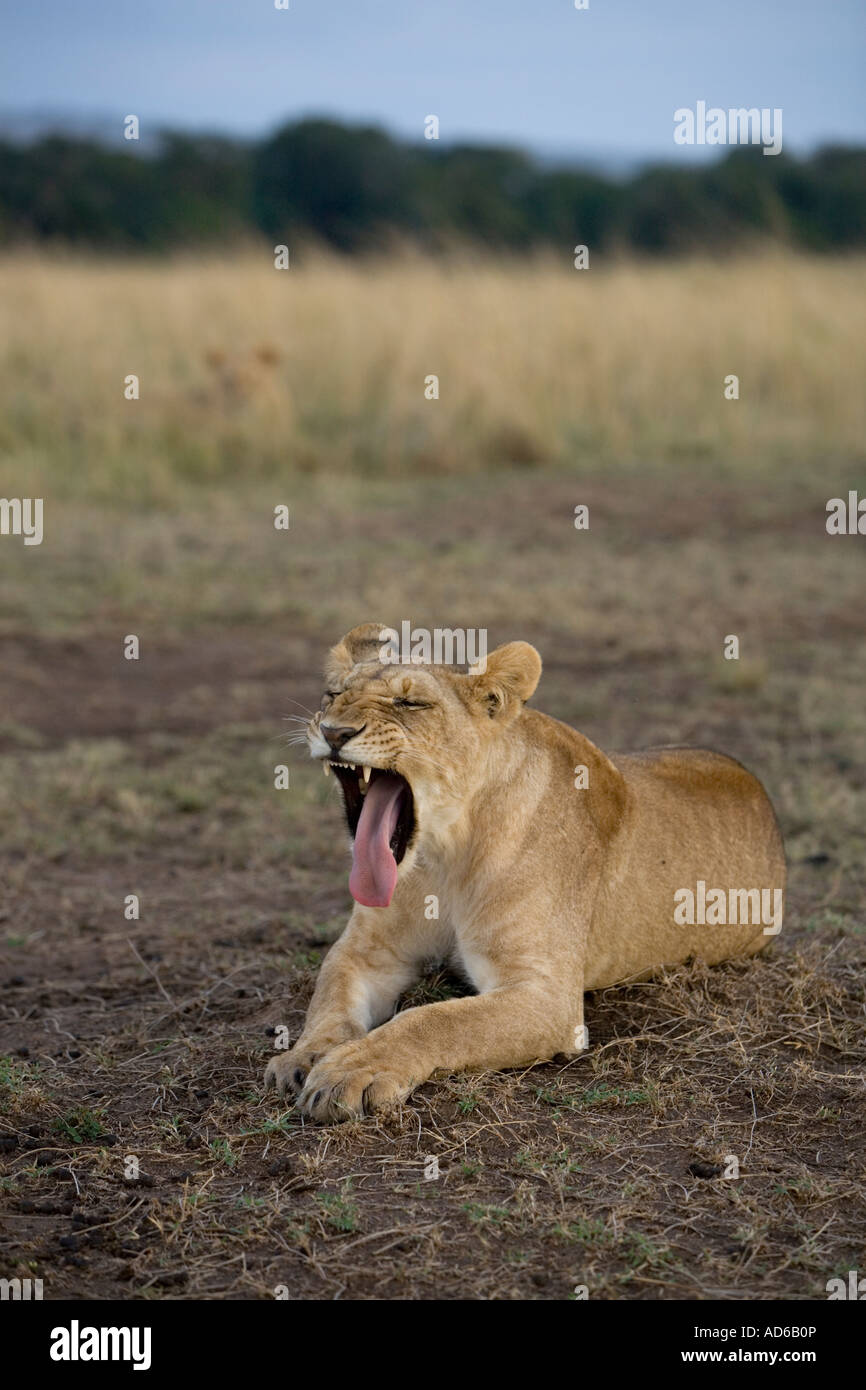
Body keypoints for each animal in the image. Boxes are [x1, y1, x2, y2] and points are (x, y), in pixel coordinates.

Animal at [265, 622, 785, 1122]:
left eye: (410, 702)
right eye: (332, 694)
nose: (333, 732)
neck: (442, 855)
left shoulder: (546, 996)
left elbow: (434, 1020)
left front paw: (351, 1070)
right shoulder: (367, 952)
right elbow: (329, 1003)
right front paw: (303, 1057)